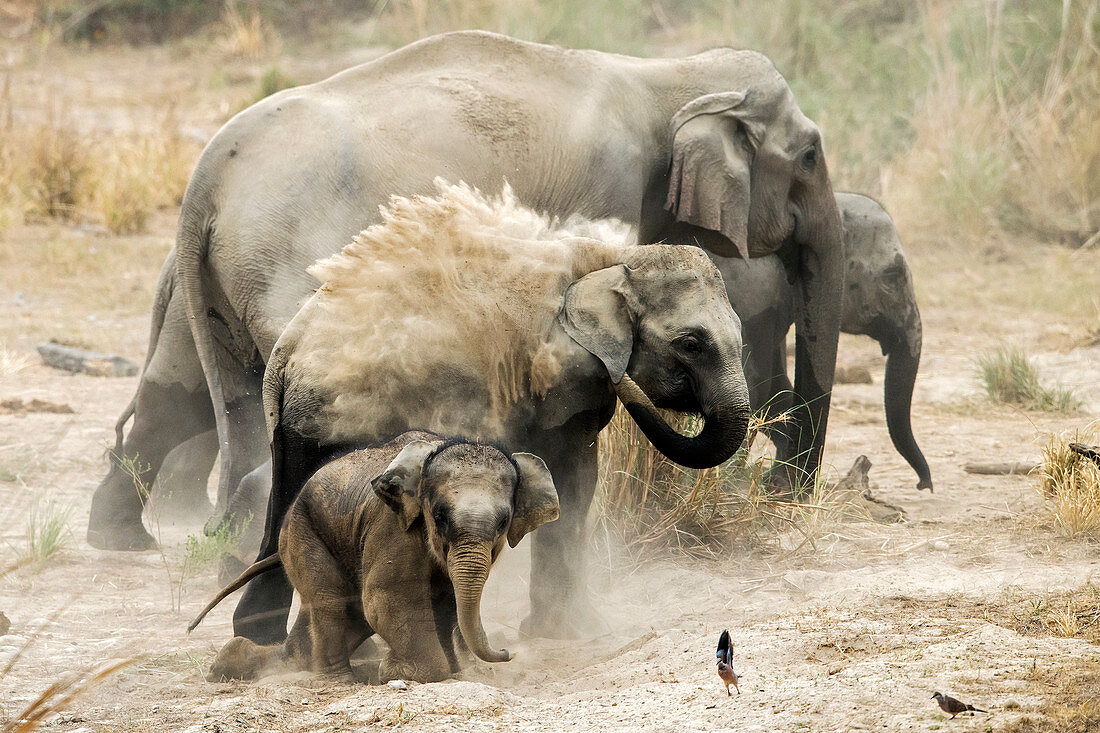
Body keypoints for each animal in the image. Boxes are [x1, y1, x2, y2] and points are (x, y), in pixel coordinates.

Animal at [88, 27, 840, 554]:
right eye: (808, 156)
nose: (785, 489)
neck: (663, 74)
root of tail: (206, 175)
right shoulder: (610, 183)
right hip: (280, 256)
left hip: (222, 273)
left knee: (182, 390)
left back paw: (135, 537)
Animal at [188, 429, 558, 677]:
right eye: (438, 517)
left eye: (503, 523)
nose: (507, 651)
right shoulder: (392, 527)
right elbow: (387, 597)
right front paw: (397, 672)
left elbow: (446, 601)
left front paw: (452, 670)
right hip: (302, 533)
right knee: (334, 602)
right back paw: (337, 680)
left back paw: (242, 662)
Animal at [236, 186, 752, 642]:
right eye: (691, 344)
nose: (622, 375)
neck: (614, 257)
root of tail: (285, 351)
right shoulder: (562, 376)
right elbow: (574, 481)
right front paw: (572, 634)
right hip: (332, 420)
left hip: (297, 428)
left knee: (281, 508)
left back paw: (255, 645)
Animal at [712, 192, 937, 490]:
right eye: (892, 275)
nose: (923, 485)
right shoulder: (755, 292)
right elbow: (754, 385)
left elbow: (777, 389)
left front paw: (777, 484)